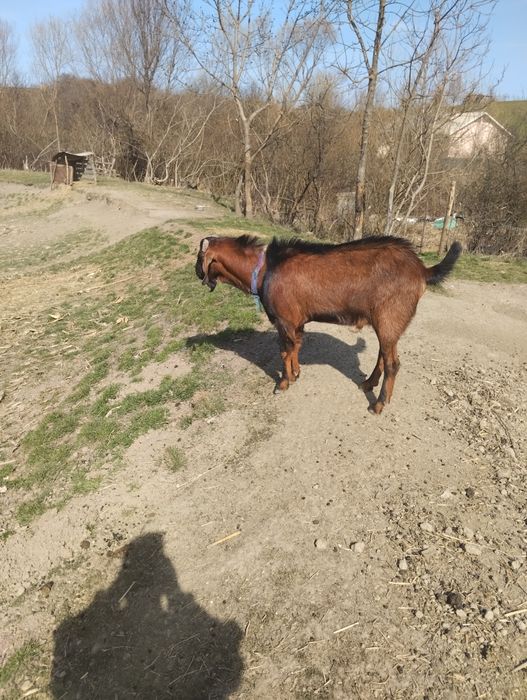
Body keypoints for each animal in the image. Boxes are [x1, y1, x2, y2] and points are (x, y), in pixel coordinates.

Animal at [195, 234, 461, 413]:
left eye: (199, 257)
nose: (197, 272)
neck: (263, 270)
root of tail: (422, 270)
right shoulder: (296, 322)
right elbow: (296, 347)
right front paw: (296, 373)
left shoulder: (284, 320)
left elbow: (284, 351)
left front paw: (283, 383)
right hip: (388, 323)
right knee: (383, 356)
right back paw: (368, 383)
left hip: (389, 317)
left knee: (393, 363)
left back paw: (378, 404)